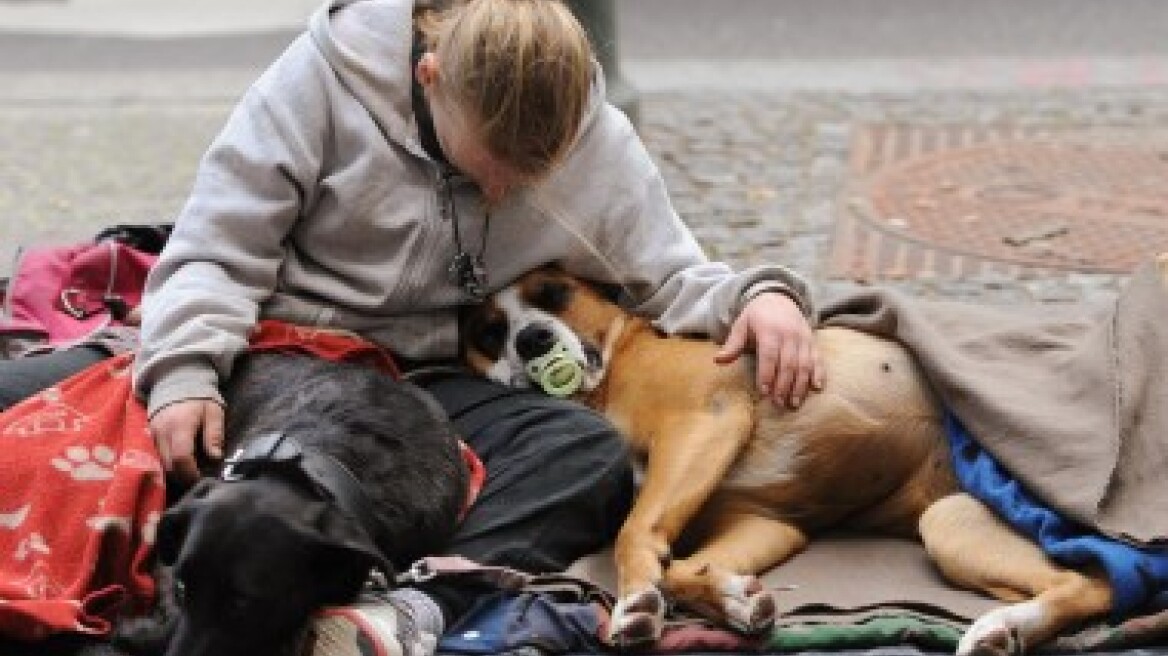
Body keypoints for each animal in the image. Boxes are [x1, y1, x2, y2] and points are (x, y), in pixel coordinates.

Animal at [464, 267, 1111, 653]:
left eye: (553, 293)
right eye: (489, 333)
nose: (530, 340)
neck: (612, 371)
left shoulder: (703, 423)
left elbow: (634, 533)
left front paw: (634, 600)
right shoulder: (767, 522)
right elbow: (679, 564)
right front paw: (732, 598)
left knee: (1093, 588)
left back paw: (1004, 627)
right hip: (952, 520)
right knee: (1091, 587)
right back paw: (1005, 629)